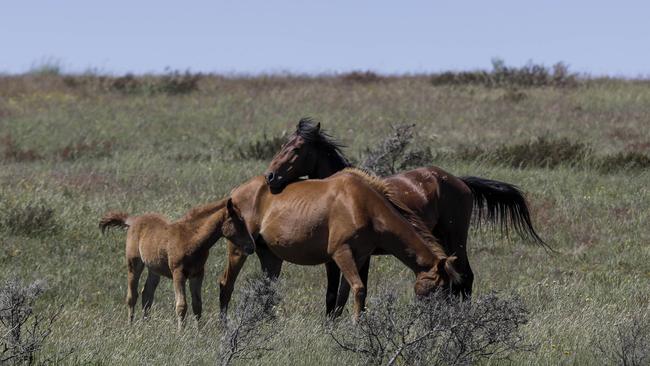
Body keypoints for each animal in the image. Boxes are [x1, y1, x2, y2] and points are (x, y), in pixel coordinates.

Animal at [100, 199, 254, 330]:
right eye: (240, 222)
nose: (251, 247)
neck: (191, 238)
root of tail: (134, 220)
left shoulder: (198, 273)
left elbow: (197, 304)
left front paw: (198, 333)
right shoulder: (178, 273)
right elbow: (181, 305)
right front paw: (181, 333)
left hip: (154, 268)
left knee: (147, 294)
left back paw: (146, 325)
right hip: (134, 263)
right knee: (132, 295)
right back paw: (130, 325)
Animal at [220, 169, 458, 320]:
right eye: (439, 288)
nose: (441, 318)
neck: (364, 206)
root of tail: (235, 192)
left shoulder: (359, 256)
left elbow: (344, 294)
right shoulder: (341, 253)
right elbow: (359, 289)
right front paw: (356, 324)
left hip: (271, 258)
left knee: (266, 291)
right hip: (238, 251)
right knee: (226, 283)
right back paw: (224, 323)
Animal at [260, 118, 544, 316]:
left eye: (297, 148)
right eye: (283, 145)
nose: (270, 176)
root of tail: (459, 181)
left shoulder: (359, 255)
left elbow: (352, 290)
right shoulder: (337, 257)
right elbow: (333, 294)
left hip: (456, 238)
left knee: (467, 276)